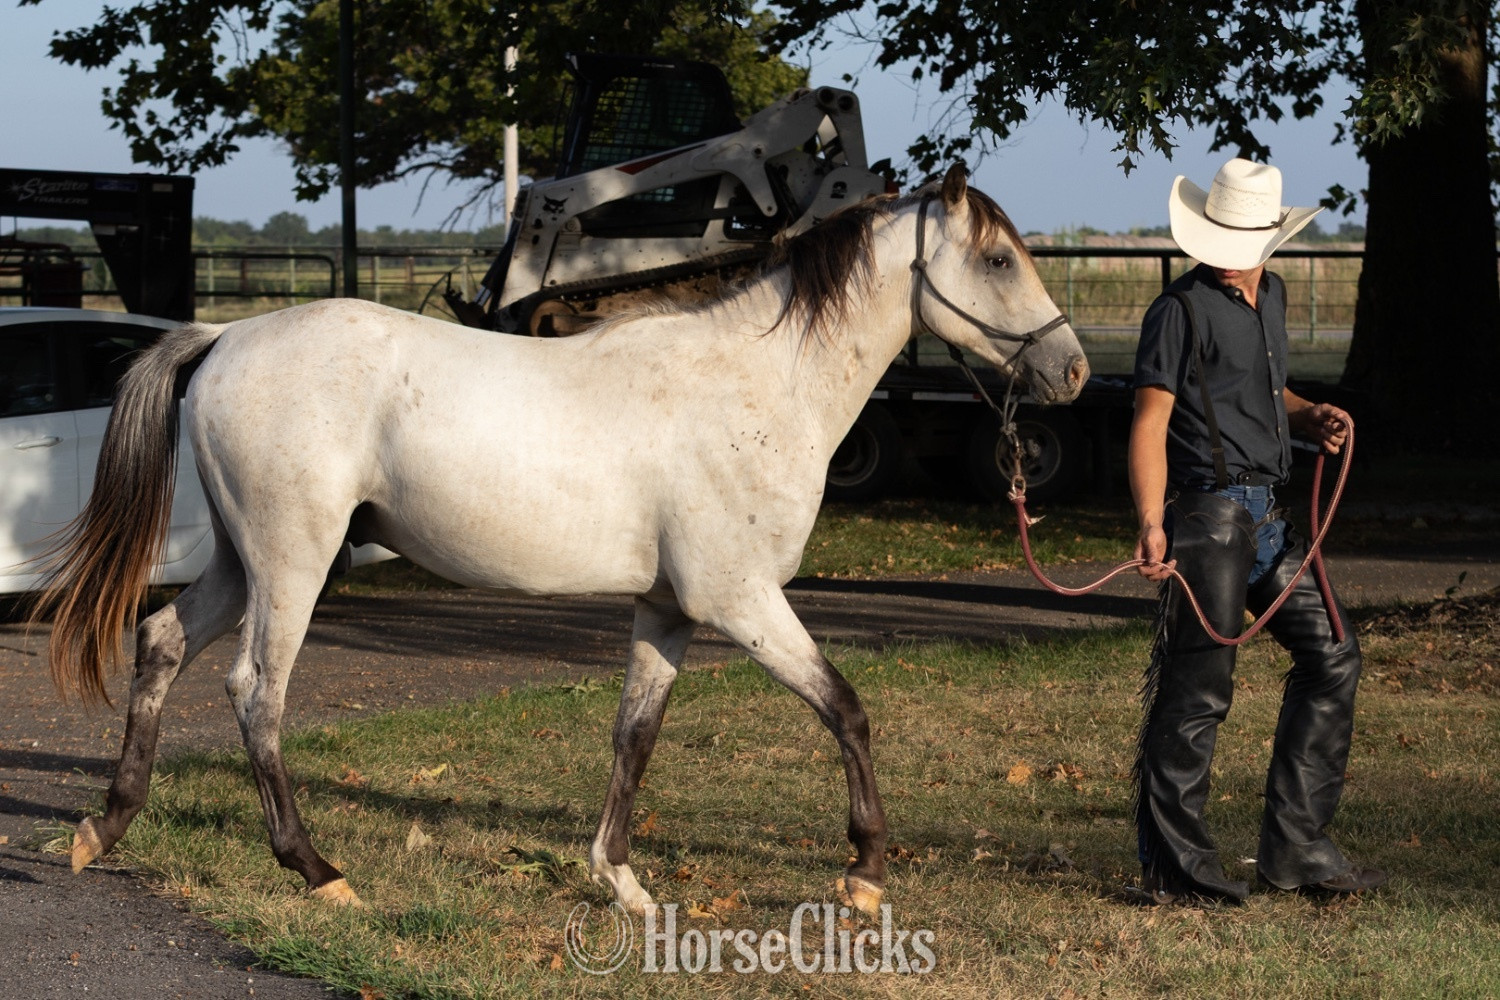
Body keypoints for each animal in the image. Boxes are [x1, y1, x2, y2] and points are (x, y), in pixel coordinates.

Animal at [33, 165, 1088, 915]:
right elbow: (846, 710)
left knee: (161, 644)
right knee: (256, 693)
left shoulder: (668, 610)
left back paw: (103, 830)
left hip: (239, 562)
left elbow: (635, 734)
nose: (1072, 371)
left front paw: (620, 881)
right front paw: (865, 872)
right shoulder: (743, 601)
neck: (756, 385)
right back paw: (317, 870)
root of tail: (223, 337)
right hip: (291, 566)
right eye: (1000, 261)